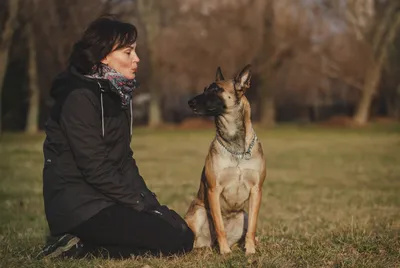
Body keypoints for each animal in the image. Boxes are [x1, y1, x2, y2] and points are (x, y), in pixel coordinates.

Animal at [184, 65, 266, 255]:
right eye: (205, 89)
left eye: (216, 89)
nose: (190, 102)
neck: (237, 149)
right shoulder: (213, 190)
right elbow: (219, 225)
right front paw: (225, 252)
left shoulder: (256, 190)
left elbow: (252, 227)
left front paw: (250, 250)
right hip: (198, 212)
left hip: (242, 215)